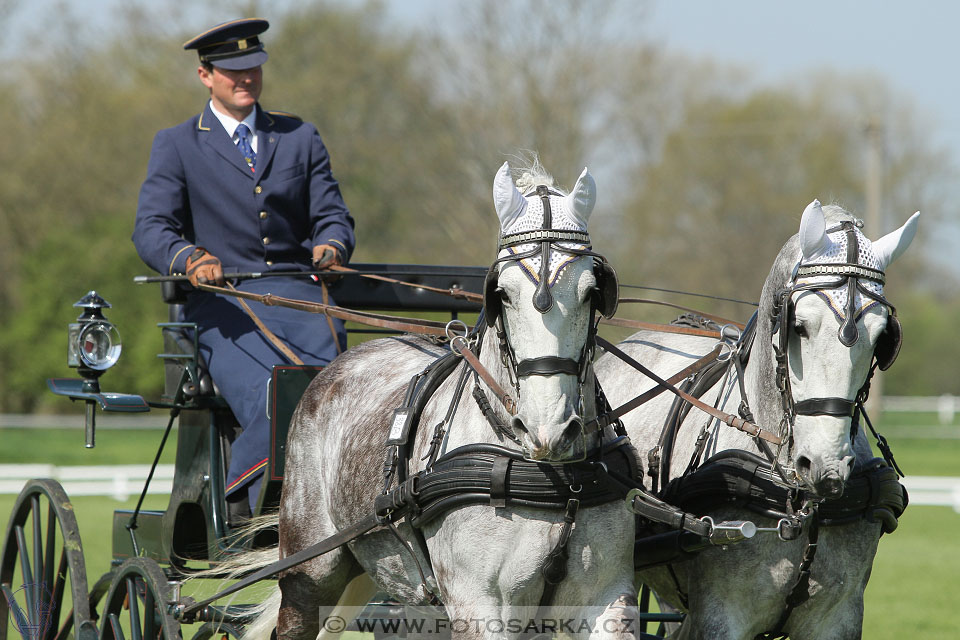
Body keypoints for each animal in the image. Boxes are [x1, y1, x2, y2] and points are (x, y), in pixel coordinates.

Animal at [244, 162, 640, 640]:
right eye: (501, 293)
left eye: (591, 292)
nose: (549, 428)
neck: (551, 474)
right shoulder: (479, 605)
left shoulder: (606, 598)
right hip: (311, 570)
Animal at [596, 201, 920, 640]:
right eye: (798, 326)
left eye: (882, 334)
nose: (826, 468)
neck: (797, 501)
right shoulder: (721, 616)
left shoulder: (840, 617)